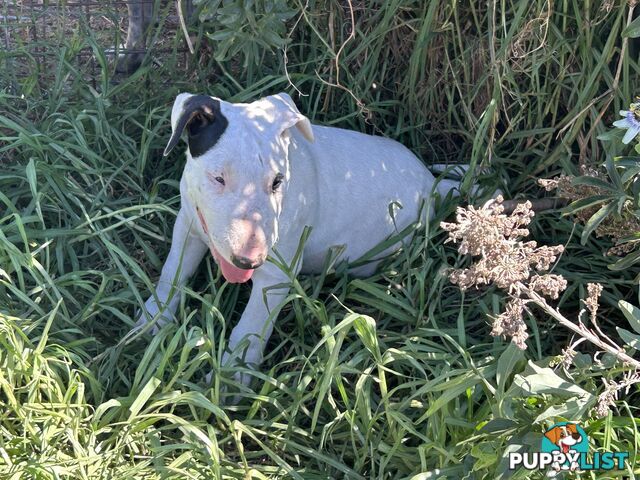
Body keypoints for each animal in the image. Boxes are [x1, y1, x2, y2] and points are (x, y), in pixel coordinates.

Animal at [138, 93, 462, 390]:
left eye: (277, 182)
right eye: (218, 178)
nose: (250, 261)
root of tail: (432, 184)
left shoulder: (276, 275)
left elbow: (251, 326)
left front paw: (231, 378)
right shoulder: (189, 224)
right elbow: (172, 273)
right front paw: (152, 321)